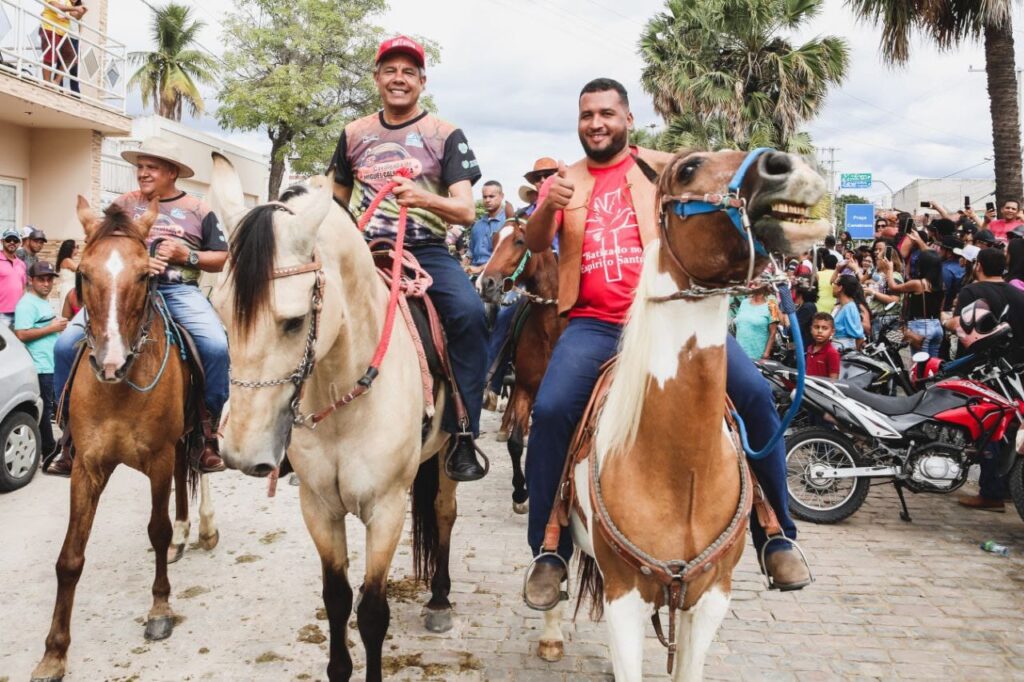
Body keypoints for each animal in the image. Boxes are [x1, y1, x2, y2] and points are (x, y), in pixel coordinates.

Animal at [33, 197, 220, 679]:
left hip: (196, 429)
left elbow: (155, 529)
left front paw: (159, 610)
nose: (110, 362)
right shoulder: (88, 465)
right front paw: (54, 652)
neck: (120, 385)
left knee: (201, 465)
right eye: (83, 274)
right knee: (184, 471)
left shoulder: (156, 458)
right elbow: (70, 557)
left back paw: (204, 527)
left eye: (144, 275)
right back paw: (184, 534)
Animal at [477, 220, 565, 512]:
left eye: (519, 241)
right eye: (494, 240)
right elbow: (516, 444)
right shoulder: (527, 387)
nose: (486, 283)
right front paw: (519, 493)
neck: (551, 328)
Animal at [532, 150, 827, 679]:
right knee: (556, 561)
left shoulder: (711, 598)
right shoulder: (624, 598)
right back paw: (549, 627)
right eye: (689, 168)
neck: (678, 469)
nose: (785, 164)